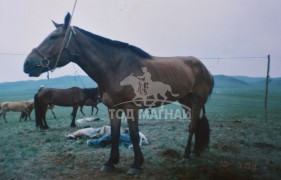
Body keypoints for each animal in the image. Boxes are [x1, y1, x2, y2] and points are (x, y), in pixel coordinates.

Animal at [23, 13, 212, 175]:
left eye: (53, 37)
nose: (27, 64)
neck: (113, 68)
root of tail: (203, 67)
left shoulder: (131, 108)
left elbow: (134, 136)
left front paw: (136, 164)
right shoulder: (113, 108)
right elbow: (114, 135)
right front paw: (110, 163)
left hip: (196, 101)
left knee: (192, 126)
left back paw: (186, 155)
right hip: (186, 102)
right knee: (194, 125)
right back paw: (195, 152)